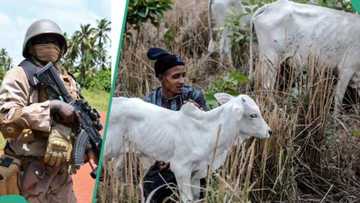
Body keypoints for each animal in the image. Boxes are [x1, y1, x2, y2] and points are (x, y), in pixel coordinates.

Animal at [104, 93, 270, 201]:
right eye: (253, 115)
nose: (270, 131)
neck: (207, 131)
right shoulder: (181, 168)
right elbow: (187, 198)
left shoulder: (196, 172)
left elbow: (195, 197)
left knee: (116, 170)